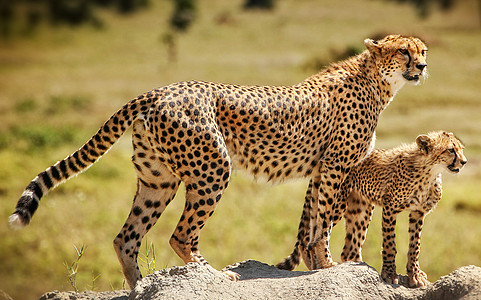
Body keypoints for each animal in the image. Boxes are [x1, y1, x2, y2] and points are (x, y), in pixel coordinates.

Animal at [9, 34, 426, 288]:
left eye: (422, 51)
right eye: (403, 52)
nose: (422, 68)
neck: (377, 81)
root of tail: (159, 89)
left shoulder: (318, 171)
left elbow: (311, 221)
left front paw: (314, 265)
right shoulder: (336, 166)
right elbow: (325, 220)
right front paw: (328, 266)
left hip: (157, 179)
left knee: (126, 237)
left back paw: (140, 286)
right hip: (212, 168)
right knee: (180, 234)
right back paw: (215, 276)